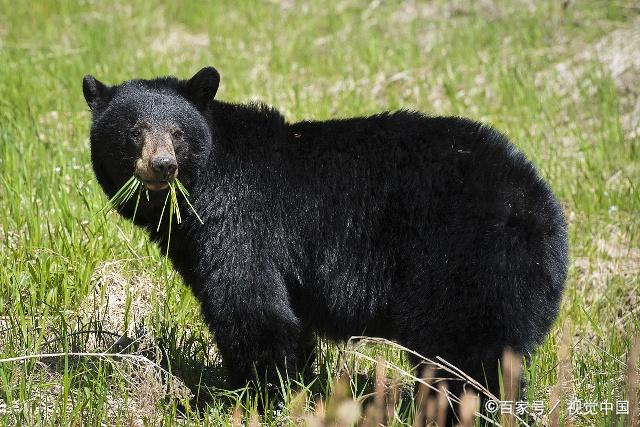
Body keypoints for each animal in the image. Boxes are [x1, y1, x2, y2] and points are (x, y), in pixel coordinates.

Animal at [82, 67, 568, 408]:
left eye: (178, 133)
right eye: (134, 131)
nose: (163, 165)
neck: (203, 186)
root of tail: (542, 208)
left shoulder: (240, 221)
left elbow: (251, 306)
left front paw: (246, 397)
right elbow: (289, 322)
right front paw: (292, 388)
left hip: (465, 261)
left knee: (465, 355)